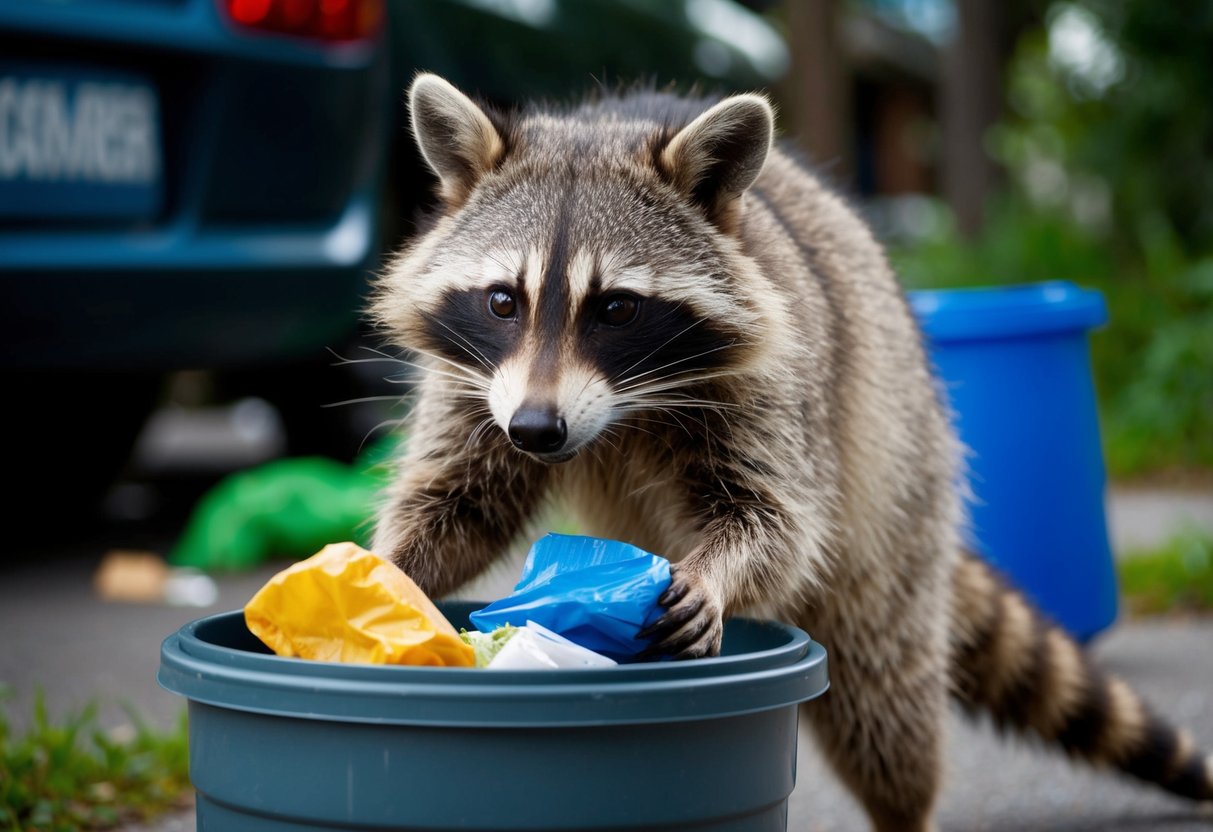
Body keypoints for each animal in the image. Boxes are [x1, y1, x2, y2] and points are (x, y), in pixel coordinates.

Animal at [371, 73, 1213, 831]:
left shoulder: (774, 384)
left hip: (896, 480)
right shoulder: (478, 384)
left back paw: (904, 806)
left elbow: (777, 521)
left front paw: (718, 571)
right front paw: (385, 571)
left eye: (615, 308)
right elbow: (461, 500)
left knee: (886, 699)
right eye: (501, 301)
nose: (536, 432)